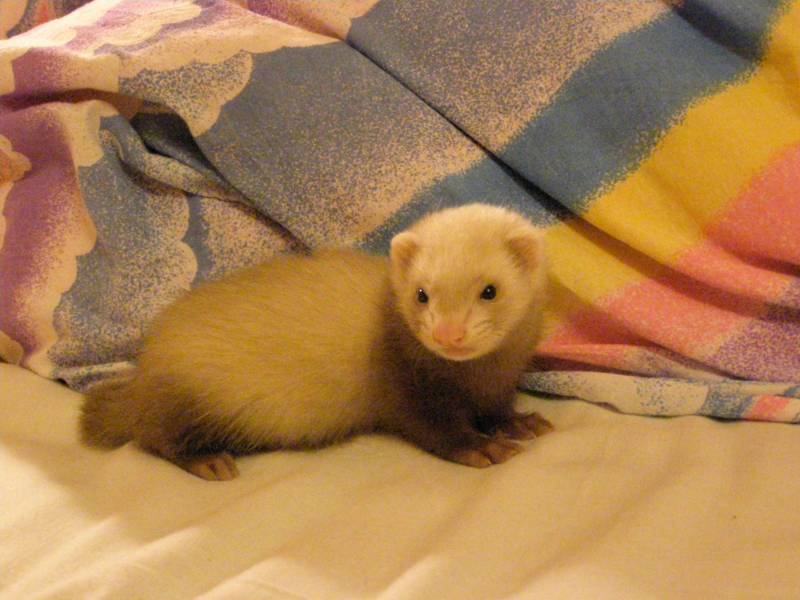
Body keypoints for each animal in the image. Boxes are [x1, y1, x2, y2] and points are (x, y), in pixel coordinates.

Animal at [80, 203, 551, 480]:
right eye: (421, 293)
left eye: (489, 290)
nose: (448, 334)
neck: (475, 378)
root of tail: (142, 375)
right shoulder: (410, 391)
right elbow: (439, 429)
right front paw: (483, 447)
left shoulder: (499, 385)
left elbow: (497, 411)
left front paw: (521, 423)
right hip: (184, 402)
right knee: (156, 437)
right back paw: (208, 460)